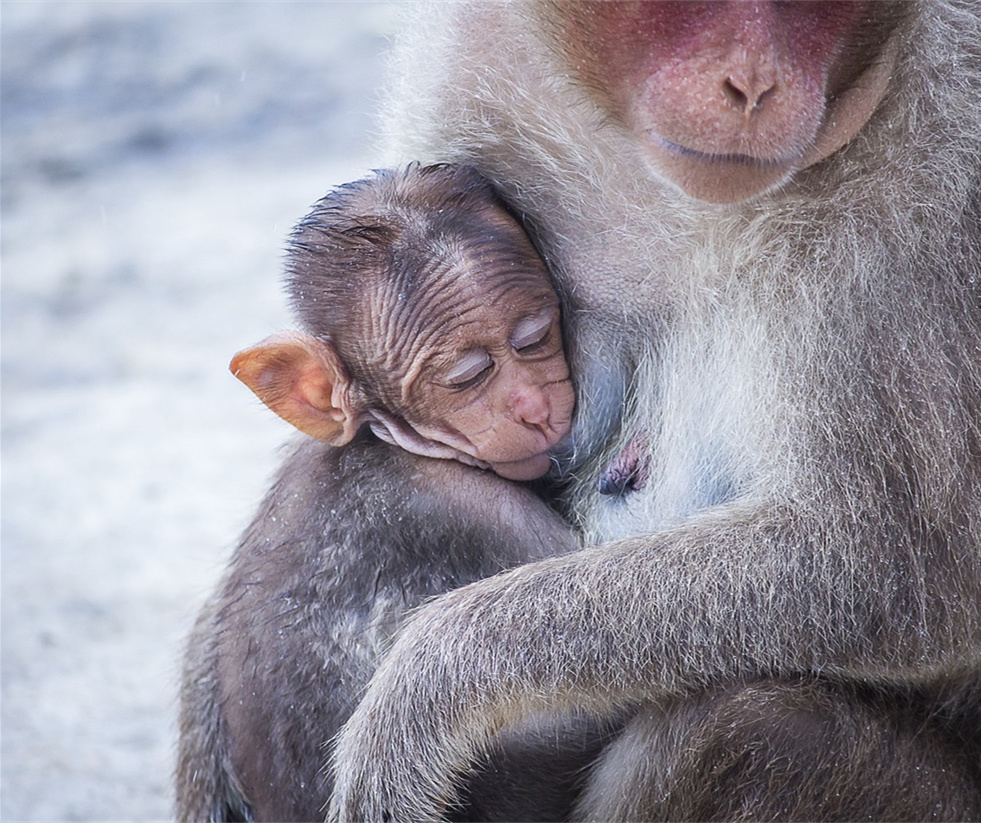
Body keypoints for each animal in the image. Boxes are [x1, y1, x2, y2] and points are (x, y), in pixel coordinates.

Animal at [330, 3, 980, 820]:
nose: (753, 84)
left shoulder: (938, 170)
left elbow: (890, 565)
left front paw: (421, 692)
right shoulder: (474, 62)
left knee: (738, 729)